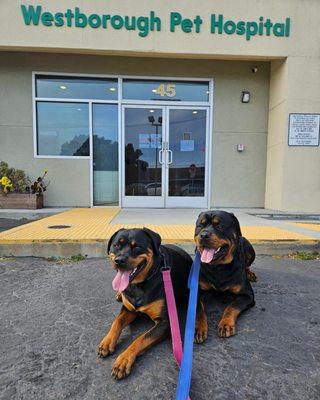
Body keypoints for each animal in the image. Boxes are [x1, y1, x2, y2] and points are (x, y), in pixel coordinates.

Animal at [97, 227, 192, 380]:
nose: (119, 260)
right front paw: (107, 342)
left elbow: (140, 339)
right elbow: (117, 321)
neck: (140, 284)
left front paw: (124, 359)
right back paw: (119, 294)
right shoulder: (129, 309)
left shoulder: (164, 323)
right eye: (116, 245)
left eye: (137, 247)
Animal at [194, 209, 256, 340]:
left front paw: (226, 324)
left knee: (247, 264)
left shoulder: (247, 295)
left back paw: (250, 274)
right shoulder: (195, 290)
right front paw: (198, 328)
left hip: (250, 250)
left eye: (220, 226)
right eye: (200, 226)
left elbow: (232, 307)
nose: (204, 235)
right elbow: (198, 309)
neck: (218, 267)